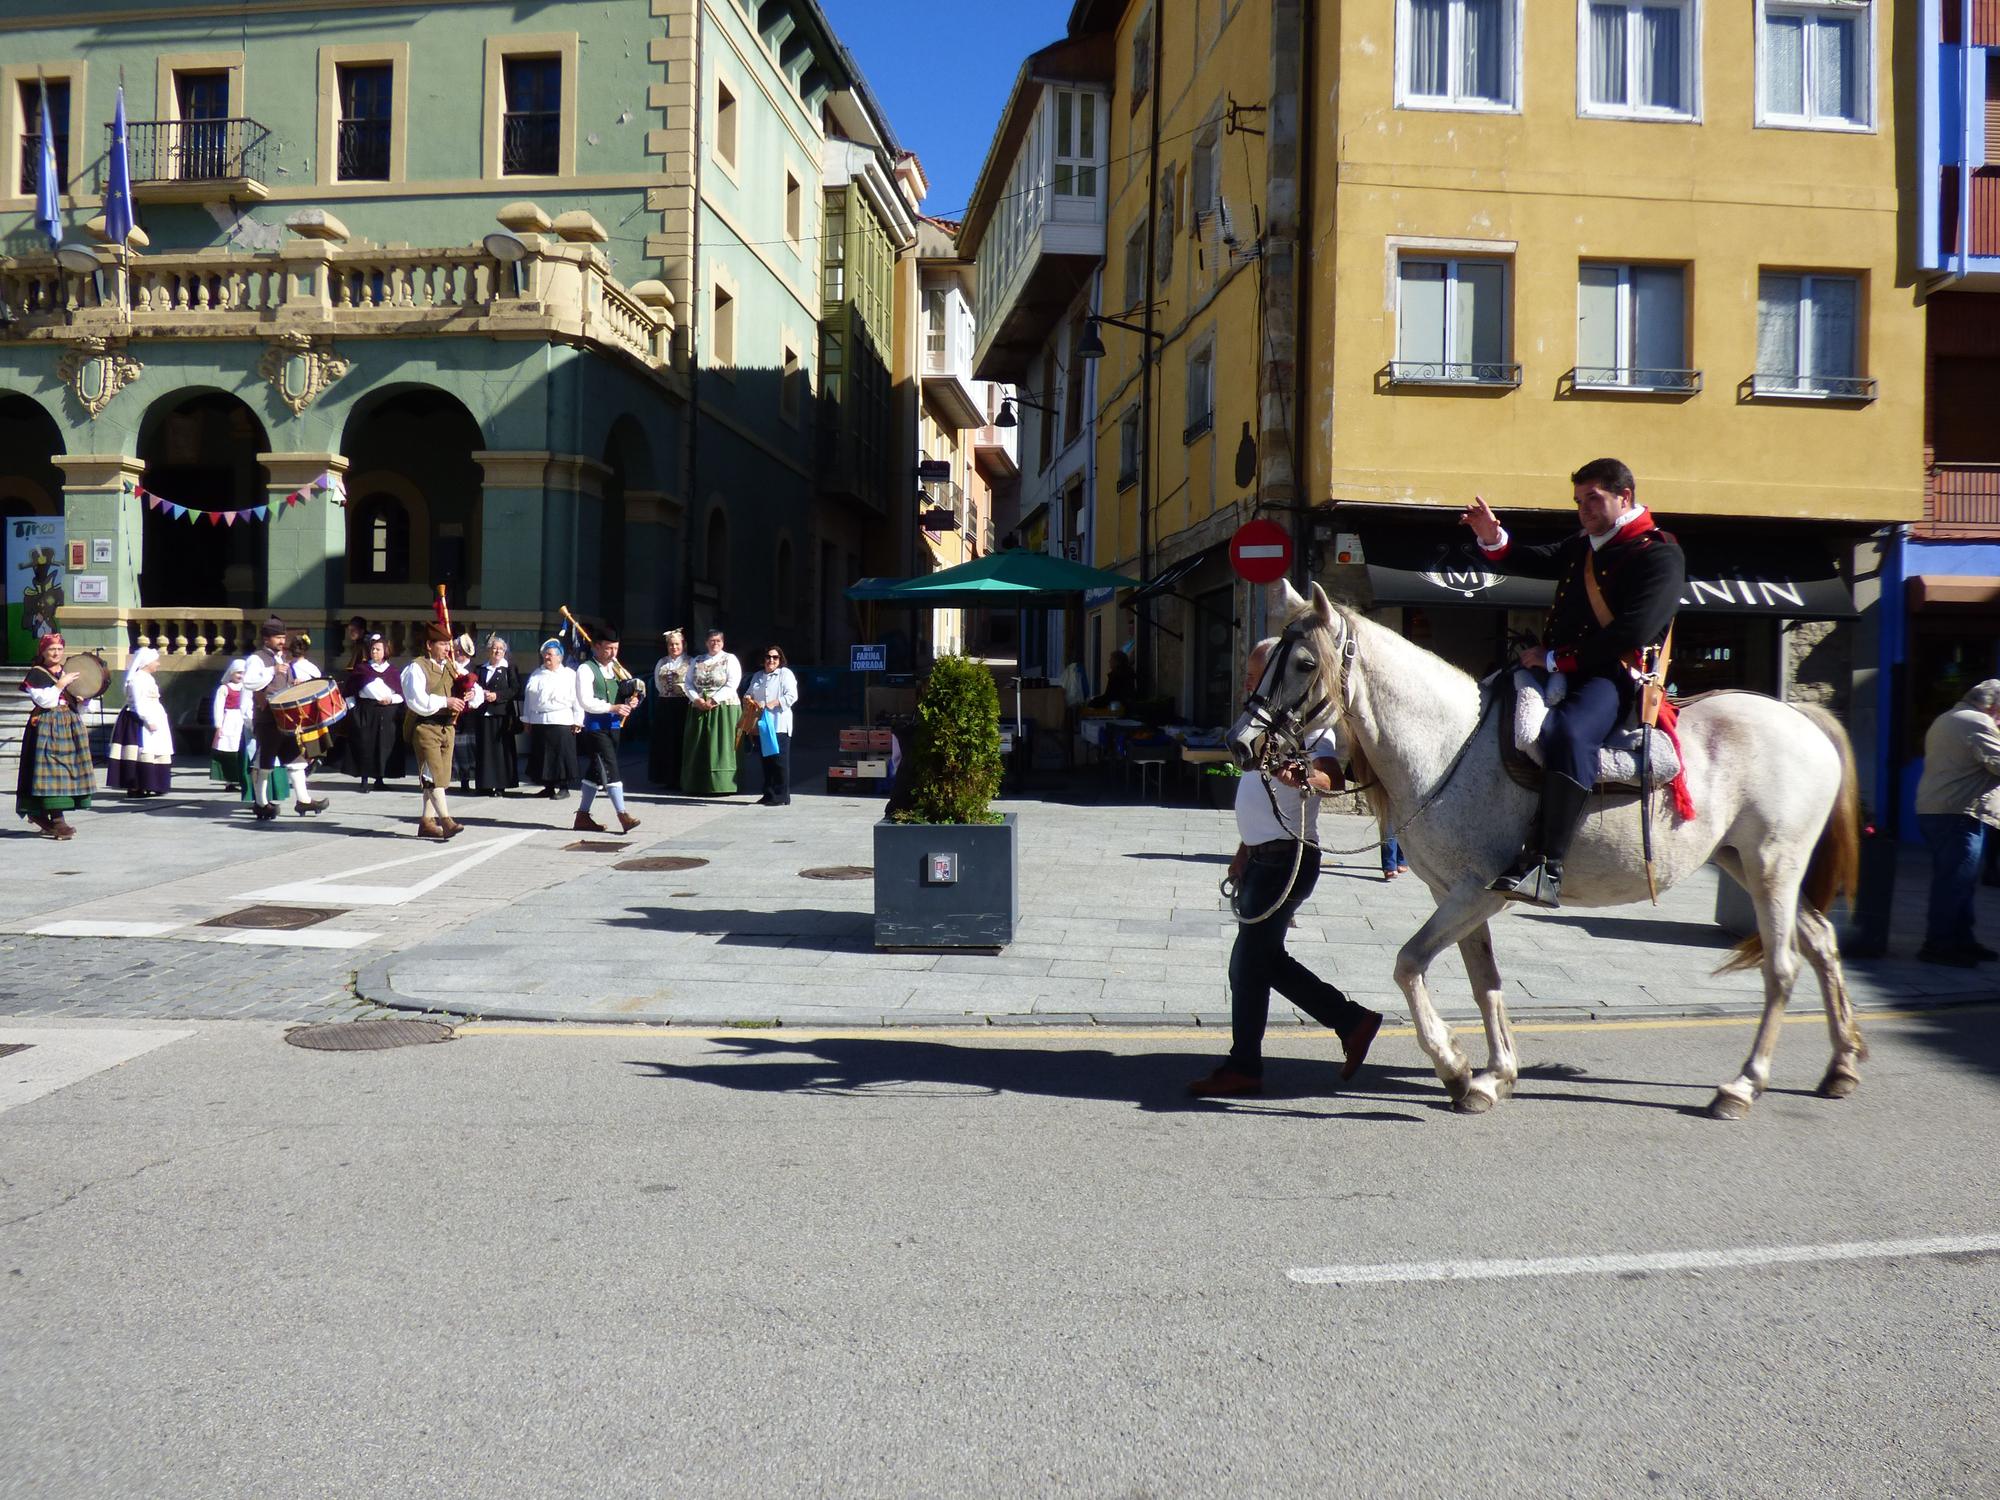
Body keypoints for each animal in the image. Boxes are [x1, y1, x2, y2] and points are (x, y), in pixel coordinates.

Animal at [1224, 580, 1864, 1120]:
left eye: (1306, 663)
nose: (1241, 742)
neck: (1450, 745)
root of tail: (1798, 716)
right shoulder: (1458, 894)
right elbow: (1484, 981)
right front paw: (1491, 1076)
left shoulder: (1478, 892)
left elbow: (1408, 964)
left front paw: (1454, 1065)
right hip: (1745, 863)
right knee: (1822, 943)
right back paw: (1840, 1067)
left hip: (1772, 865)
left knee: (1782, 967)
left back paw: (1743, 1086)